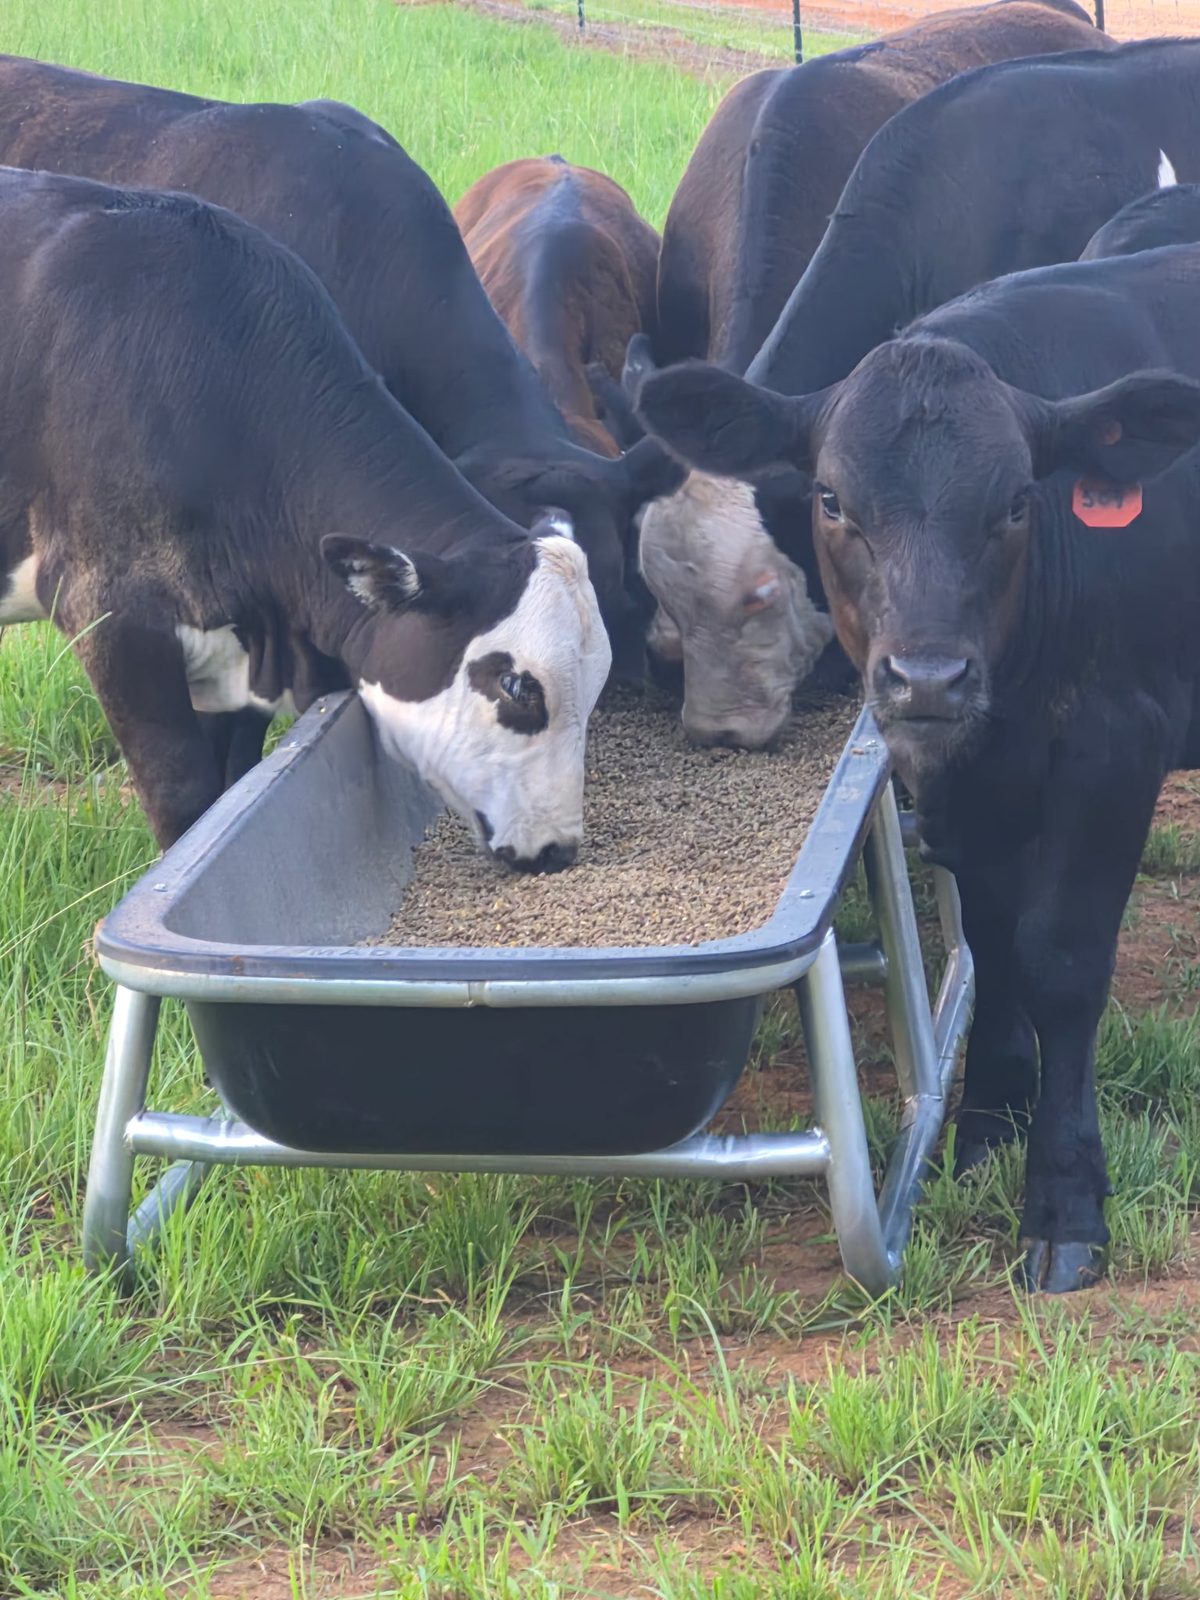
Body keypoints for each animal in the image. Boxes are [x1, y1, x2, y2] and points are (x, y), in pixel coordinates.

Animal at [0, 167, 611, 870]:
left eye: (596, 685)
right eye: (517, 687)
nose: (558, 848)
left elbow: (228, 788)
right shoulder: (111, 619)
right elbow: (185, 804)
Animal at [637, 241, 1200, 1291]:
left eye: (1018, 500)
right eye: (831, 499)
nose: (928, 675)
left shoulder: (1115, 747)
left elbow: (1062, 963)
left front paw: (1064, 1200)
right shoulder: (961, 783)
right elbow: (993, 942)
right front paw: (987, 1124)